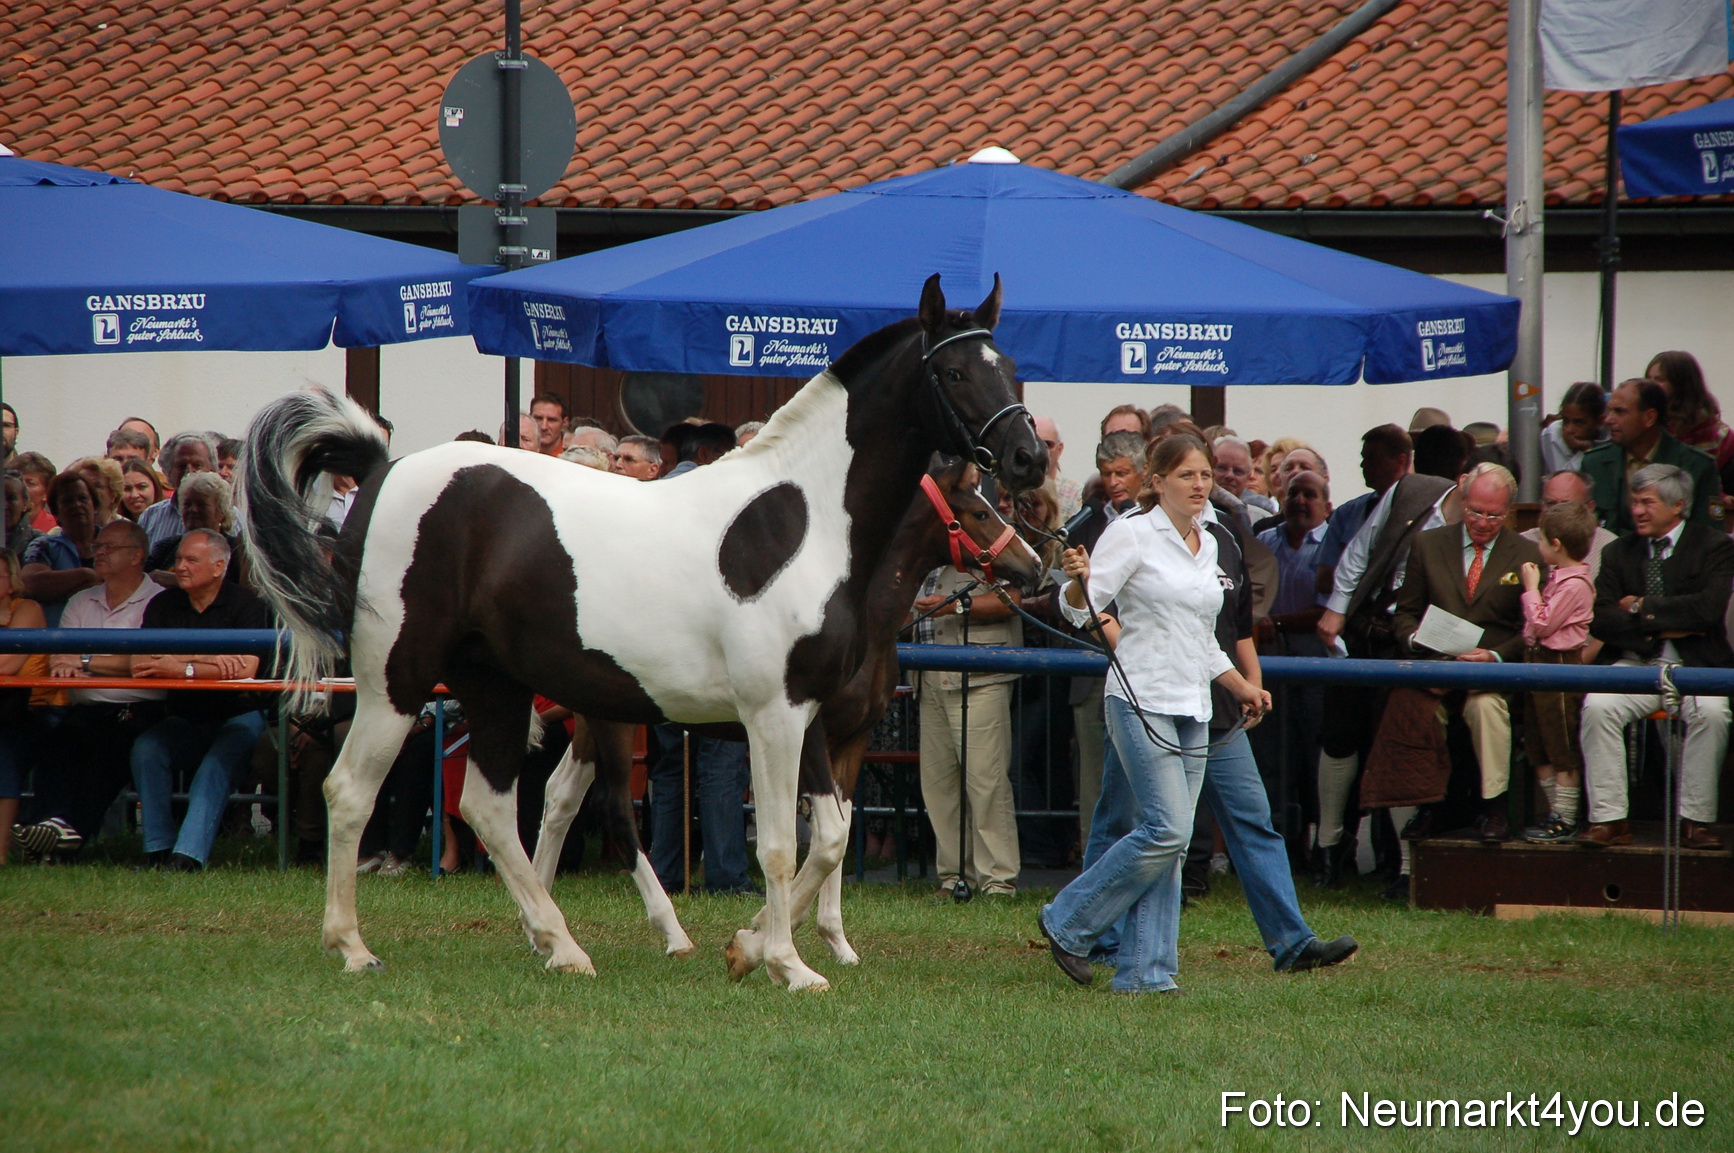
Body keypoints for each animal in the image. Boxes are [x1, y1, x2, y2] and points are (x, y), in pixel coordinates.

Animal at [525, 456, 1045, 971]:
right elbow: (820, 836)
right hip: (613, 723)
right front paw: (763, 932)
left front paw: (837, 943)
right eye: (979, 513)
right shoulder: (809, 733)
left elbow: (841, 829)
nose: (1034, 565)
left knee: (560, 795)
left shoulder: (851, 742)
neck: (862, 620)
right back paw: (669, 932)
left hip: (593, 718)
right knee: (613, 806)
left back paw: (540, 922)